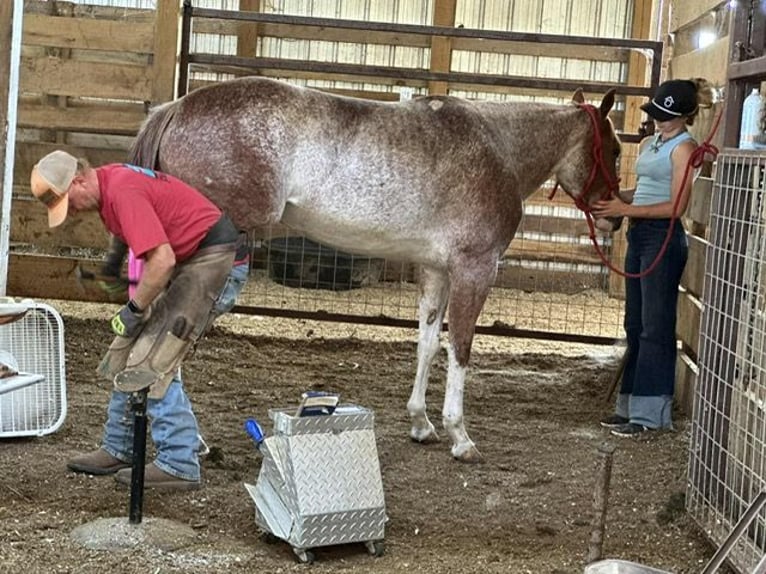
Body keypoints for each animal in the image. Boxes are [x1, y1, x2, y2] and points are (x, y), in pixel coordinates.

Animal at [129, 76, 620, 462]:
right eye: (613, 150)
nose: (614, 217)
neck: (499, 149)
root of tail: (176, 109)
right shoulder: (475, 268)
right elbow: (460, 348)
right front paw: (460, 437)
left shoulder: (435, 271)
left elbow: (428, 344)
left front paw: (422, 424)